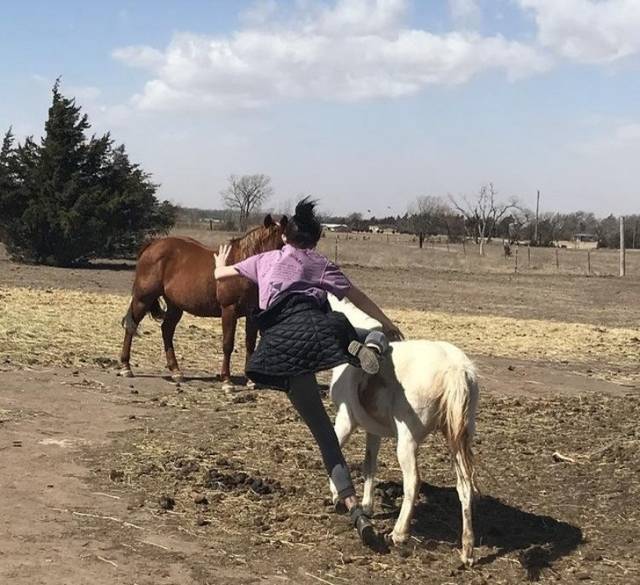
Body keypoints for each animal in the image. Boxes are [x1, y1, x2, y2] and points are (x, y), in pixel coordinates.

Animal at [119, 214, 288, 388]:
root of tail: (152, 245)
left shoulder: (252, 313)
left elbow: (250, 344)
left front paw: (251, 381)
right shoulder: (229, 309)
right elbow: (228, 344)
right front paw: (226, 381)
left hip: (175, 306)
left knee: (166, 330)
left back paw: (176, 371)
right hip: (143, 299)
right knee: (131, 326)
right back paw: (126, 367)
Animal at [328, 296, 478, 564]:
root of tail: (456, 369)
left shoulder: (345, 421)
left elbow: (334, 450)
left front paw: (337, 496)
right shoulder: (373, 431)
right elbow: (369, 465)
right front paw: (367, 506)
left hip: (407, 443)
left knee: (413, 481)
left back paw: (399, 533)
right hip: (458, 441)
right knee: (465, 487)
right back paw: (467, 550)